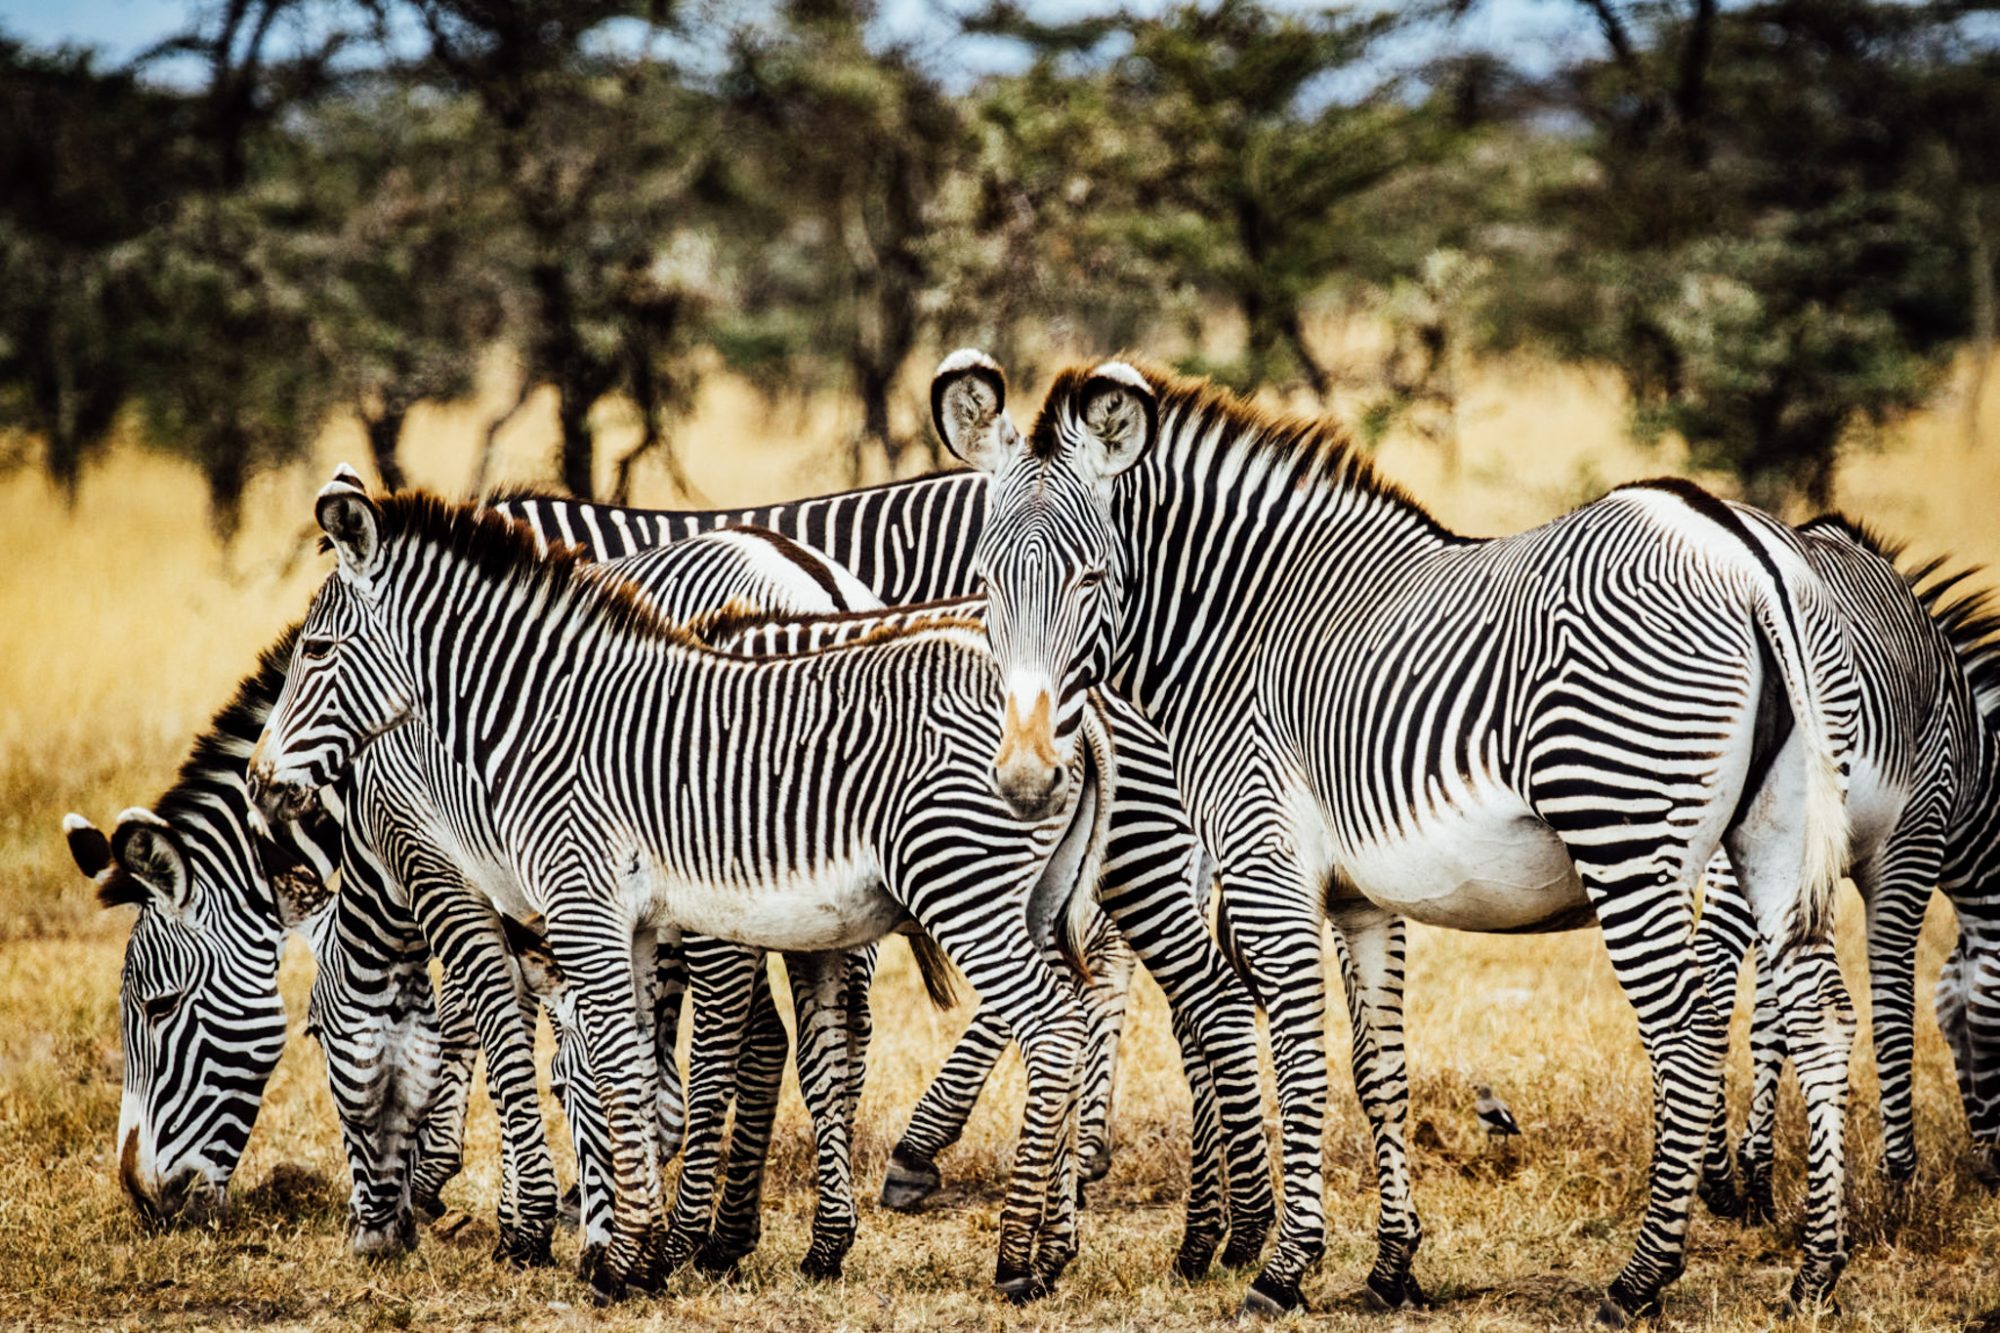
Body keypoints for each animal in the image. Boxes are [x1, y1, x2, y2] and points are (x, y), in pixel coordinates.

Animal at [246, 479, 1121, 1304]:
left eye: (316, 648)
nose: (259, 779)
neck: (538, 718)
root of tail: (1062, 716)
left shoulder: (573, 900)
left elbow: (600, 1059)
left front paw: (613, 1256)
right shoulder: (627, 923)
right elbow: (626, 1063)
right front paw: (630, 1253)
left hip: (960, 880)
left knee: (1051, 1026)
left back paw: (1015, 1259)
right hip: (1037, 899)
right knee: (1076, 1012)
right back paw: (1054, 1247)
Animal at [942, 358, 1863, 1323]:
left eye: (1091, 578)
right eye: (985, 580)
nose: (1028, 778)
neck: (1245, 625)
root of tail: (1739, 545)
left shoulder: (1267, 866)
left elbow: (1300, 1053)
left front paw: (1282, 1269)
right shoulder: (1361, 900)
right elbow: (1377, 1067)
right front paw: (1391, 1267)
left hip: (1624, 832)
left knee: (1686, 1037)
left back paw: (1641, 1277)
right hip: (1776, 836)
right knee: (1823, 1019)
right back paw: (1815, 1273)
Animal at [1694, 516, 2000, 1214]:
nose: (1995, 1167)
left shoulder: (1800, 882)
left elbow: (1776, 1016)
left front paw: (1758, 1168)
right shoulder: (1912, 845)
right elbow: (1892, 1004)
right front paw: (1899, 1179)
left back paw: (1717, 1172)